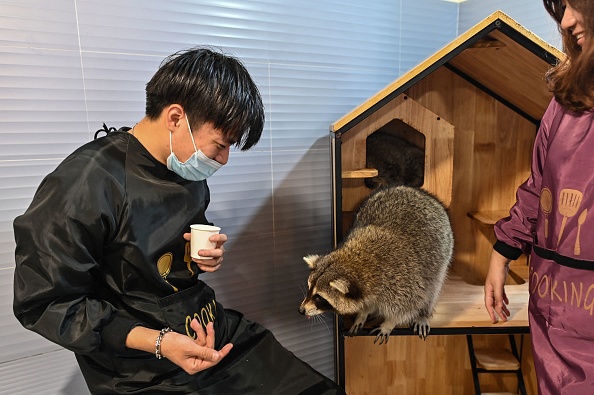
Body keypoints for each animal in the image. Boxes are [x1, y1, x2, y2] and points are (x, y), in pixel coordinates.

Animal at [298, 186, 450, 344]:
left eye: (319, 297)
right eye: (309, 289)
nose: (301, 310)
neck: (355, 262)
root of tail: (417, 191)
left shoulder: (403, 283)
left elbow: (407, 307)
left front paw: (389, 323)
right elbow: (367, 304)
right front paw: (363, 313)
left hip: (444, 252)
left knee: (433, 287)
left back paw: (423, 313)